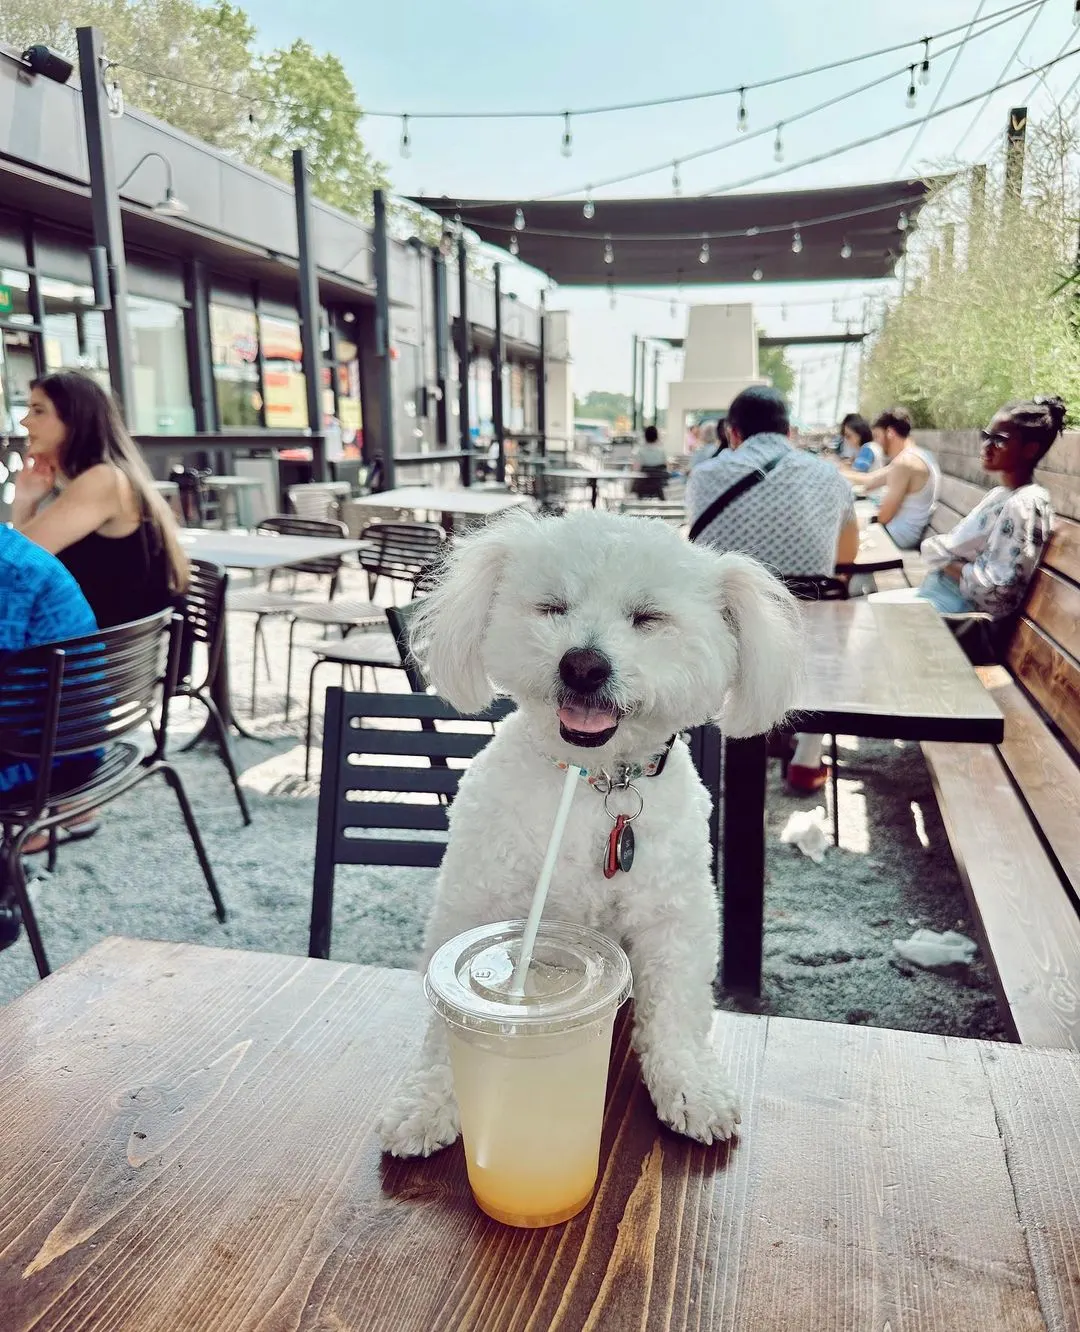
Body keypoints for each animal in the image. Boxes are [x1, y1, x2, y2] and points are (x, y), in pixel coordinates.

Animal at [380, 506, 804, 1156]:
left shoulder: (673, 920)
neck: (593, 782)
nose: (582, 665)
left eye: (648, 618)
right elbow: (445, 1020)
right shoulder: (475, 902)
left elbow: (677, 1012)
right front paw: (427, 1102)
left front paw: (692, 1088)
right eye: (553, 606)